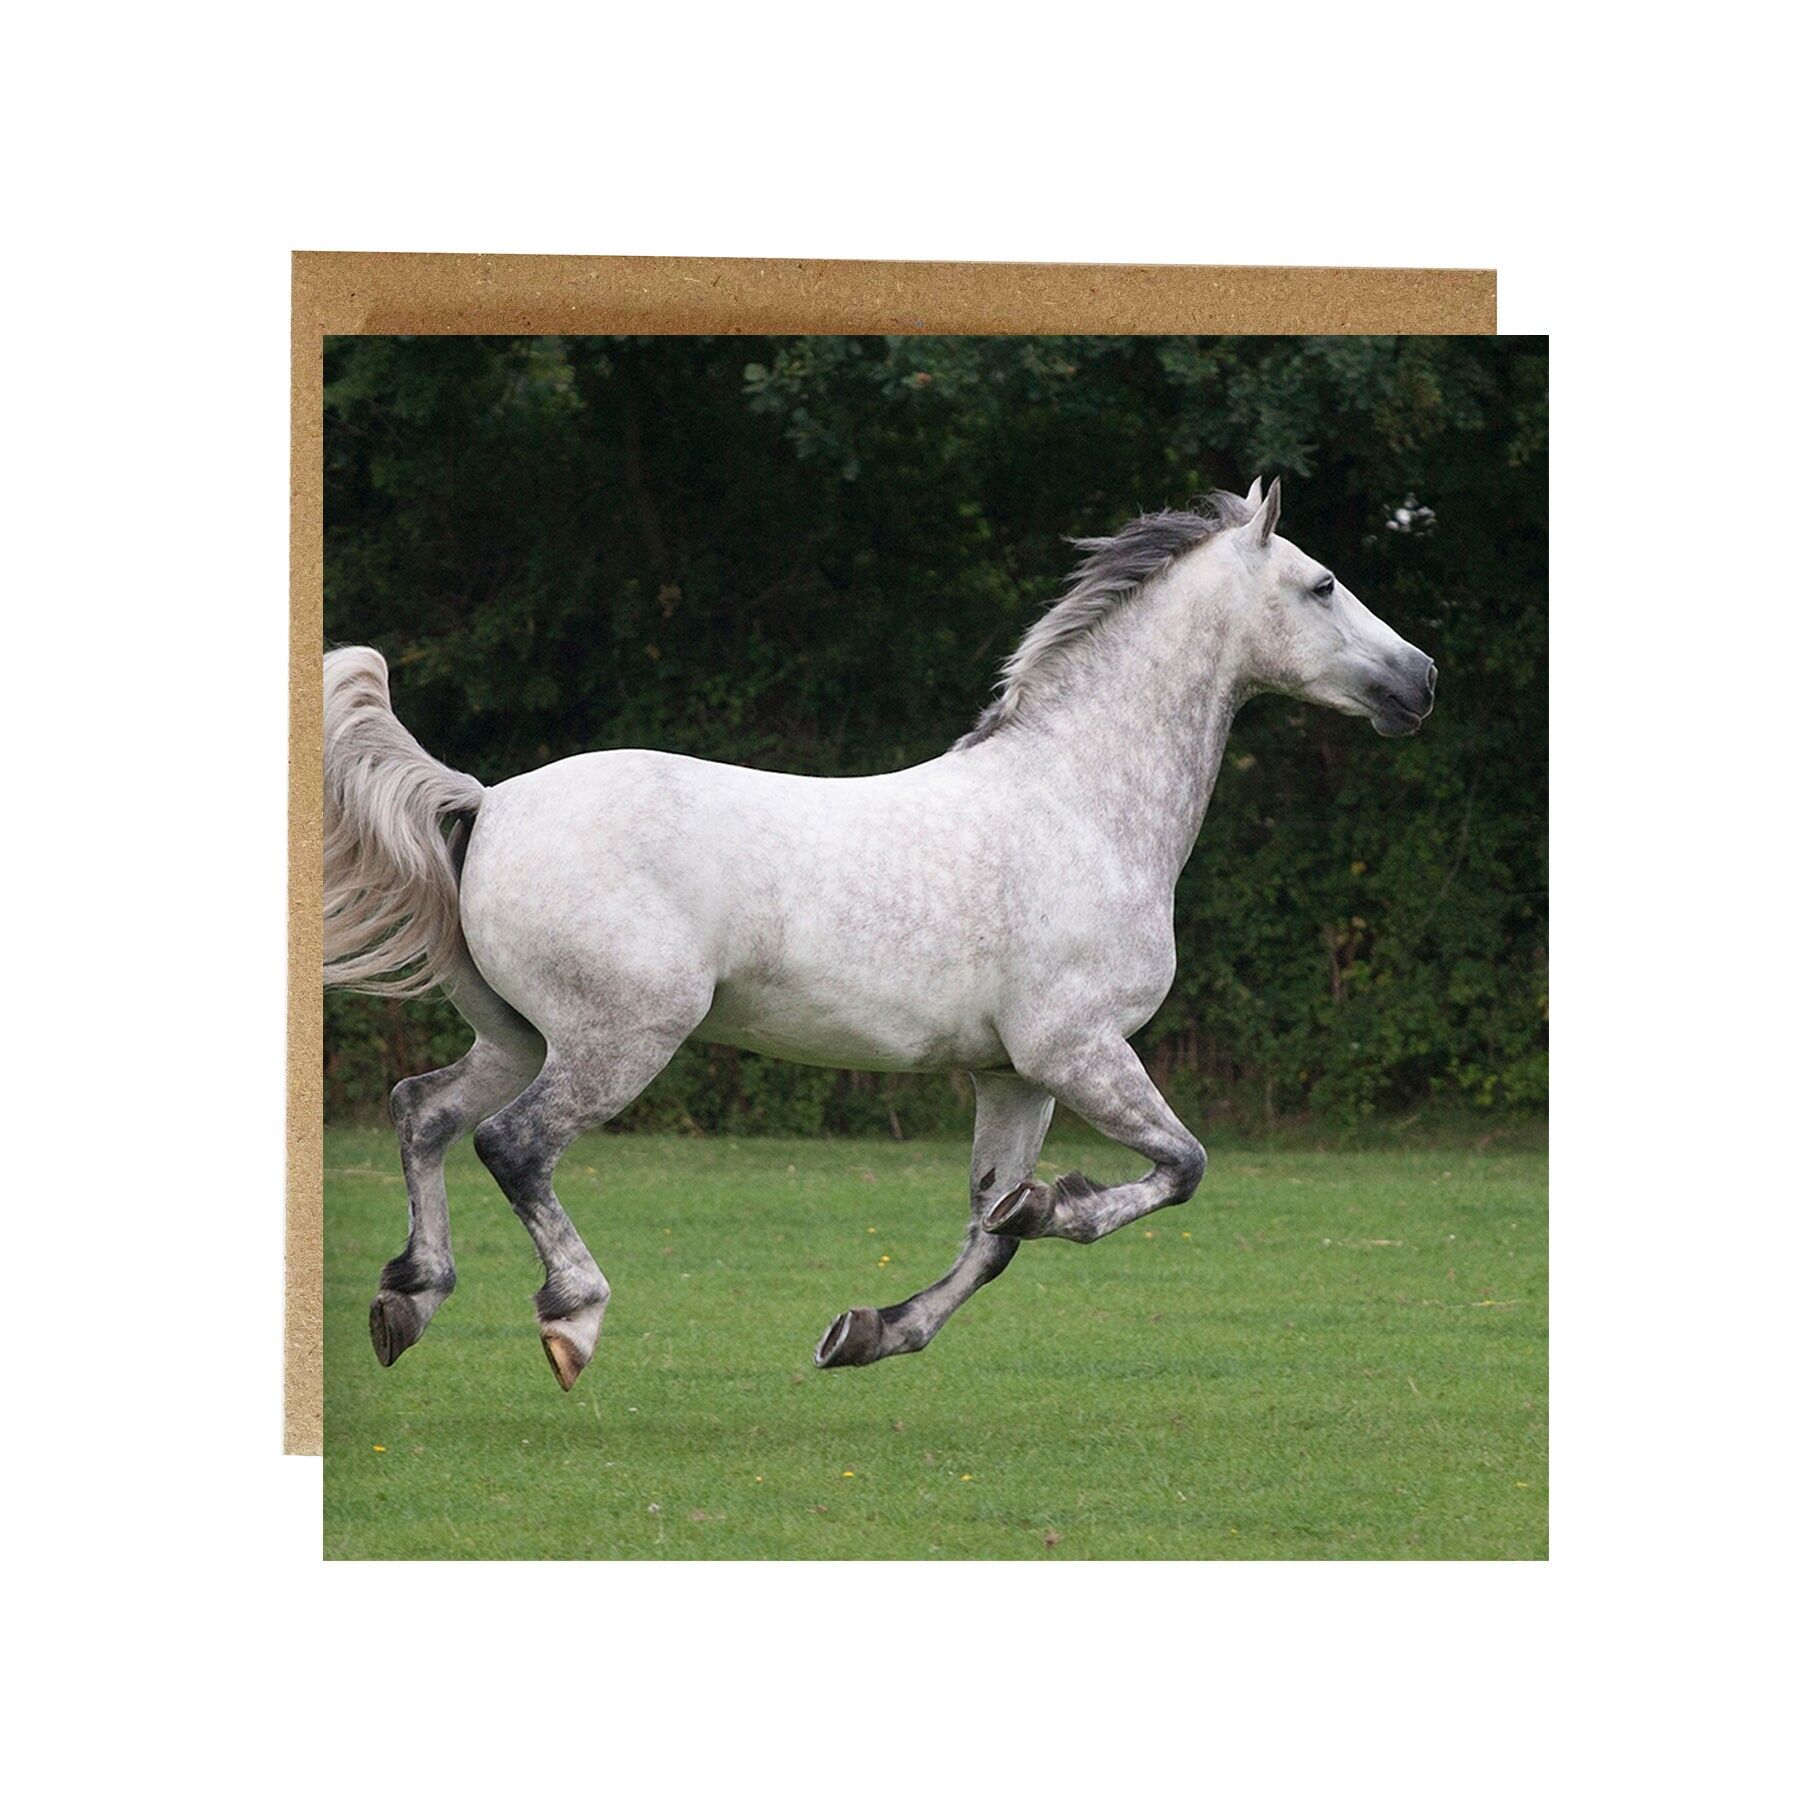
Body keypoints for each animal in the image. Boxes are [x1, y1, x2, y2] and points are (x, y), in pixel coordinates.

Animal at [323, 478, 1436, 1391]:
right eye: (1323, 584)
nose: (1420, 680)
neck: (1079, 804)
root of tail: (489, 802)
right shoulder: (1078, 1050)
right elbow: (1181, 1167)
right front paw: (1060, 1207)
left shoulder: (1013, 1076)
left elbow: (992, 1233)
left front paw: (867, 1333)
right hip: (619, 1038)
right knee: (514, 1146)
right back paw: (571, 1320)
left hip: (518, 1035)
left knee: (423, 1113)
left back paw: (406, 1301)